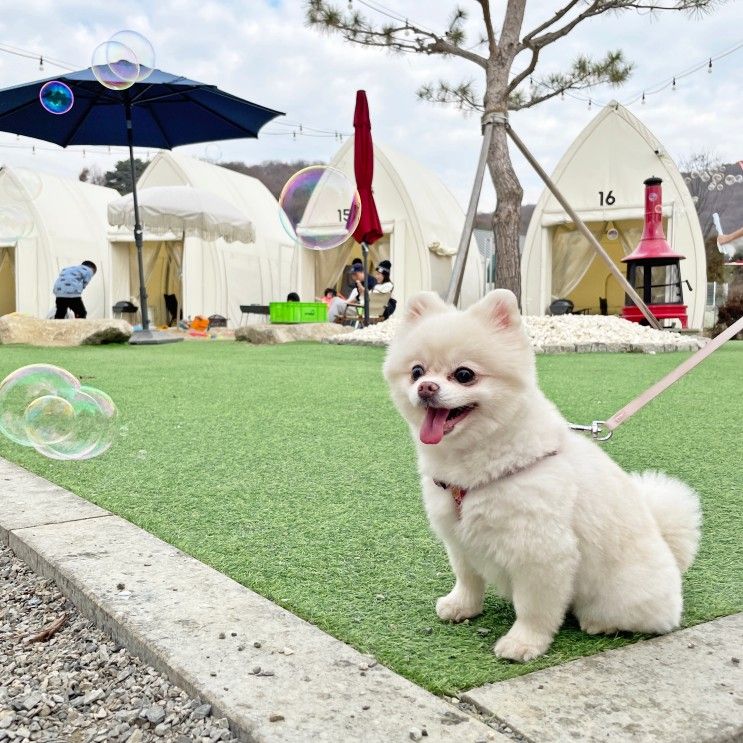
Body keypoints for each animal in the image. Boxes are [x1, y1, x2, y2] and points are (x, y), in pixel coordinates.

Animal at [384, 290, 704, 664]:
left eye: (464, 374)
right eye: (416, 371)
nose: (426, 387)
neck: (478, 463)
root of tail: (672, 555)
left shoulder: (541, 551)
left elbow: (534, 608)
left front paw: (523, 643)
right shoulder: (459, 537)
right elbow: (467, 578)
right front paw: (462, 606)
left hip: (622, 593)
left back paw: (601, 623)